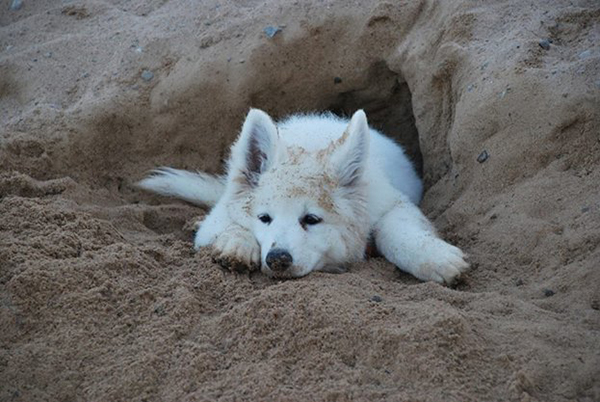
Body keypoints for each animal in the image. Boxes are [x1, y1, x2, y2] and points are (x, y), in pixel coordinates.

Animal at [137, 110, 468, 284]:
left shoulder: (391, 202)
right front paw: (237, 245)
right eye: (264, 218)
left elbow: (397, 230)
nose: (278, 259)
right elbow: (230, 225)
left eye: (311, 219)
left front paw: (436, 258)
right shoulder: (219, 217)